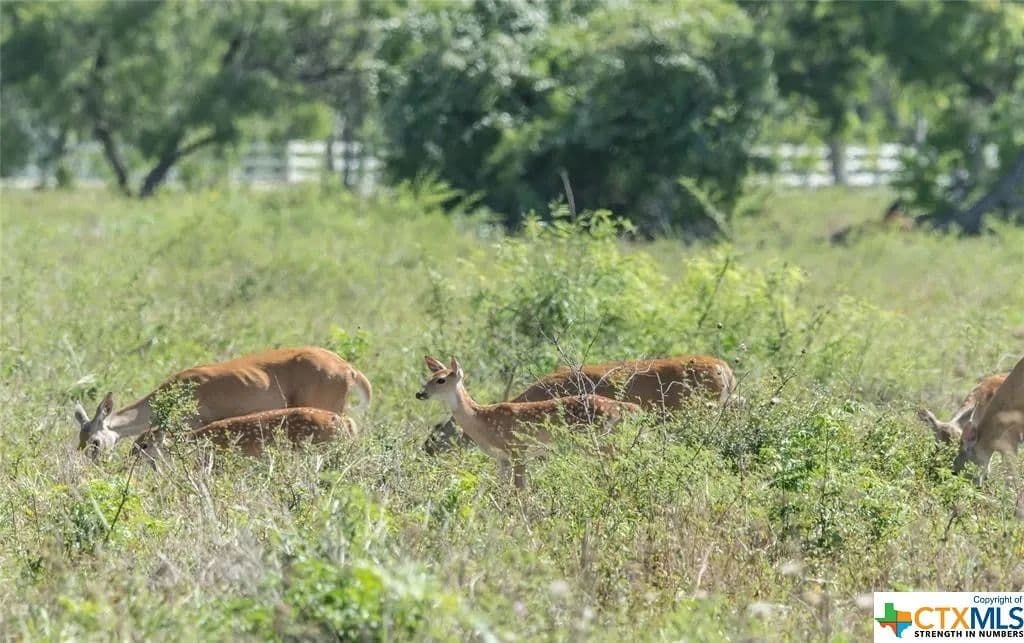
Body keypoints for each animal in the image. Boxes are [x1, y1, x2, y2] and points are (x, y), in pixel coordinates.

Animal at [416, 355, 640, 489]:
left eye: (441, 380)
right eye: (429, 377)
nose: (420, 394)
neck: (483, 420)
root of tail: (627, 408)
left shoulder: (518, 449)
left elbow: (520, 490)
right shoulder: (503, 458)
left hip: (600, 442)